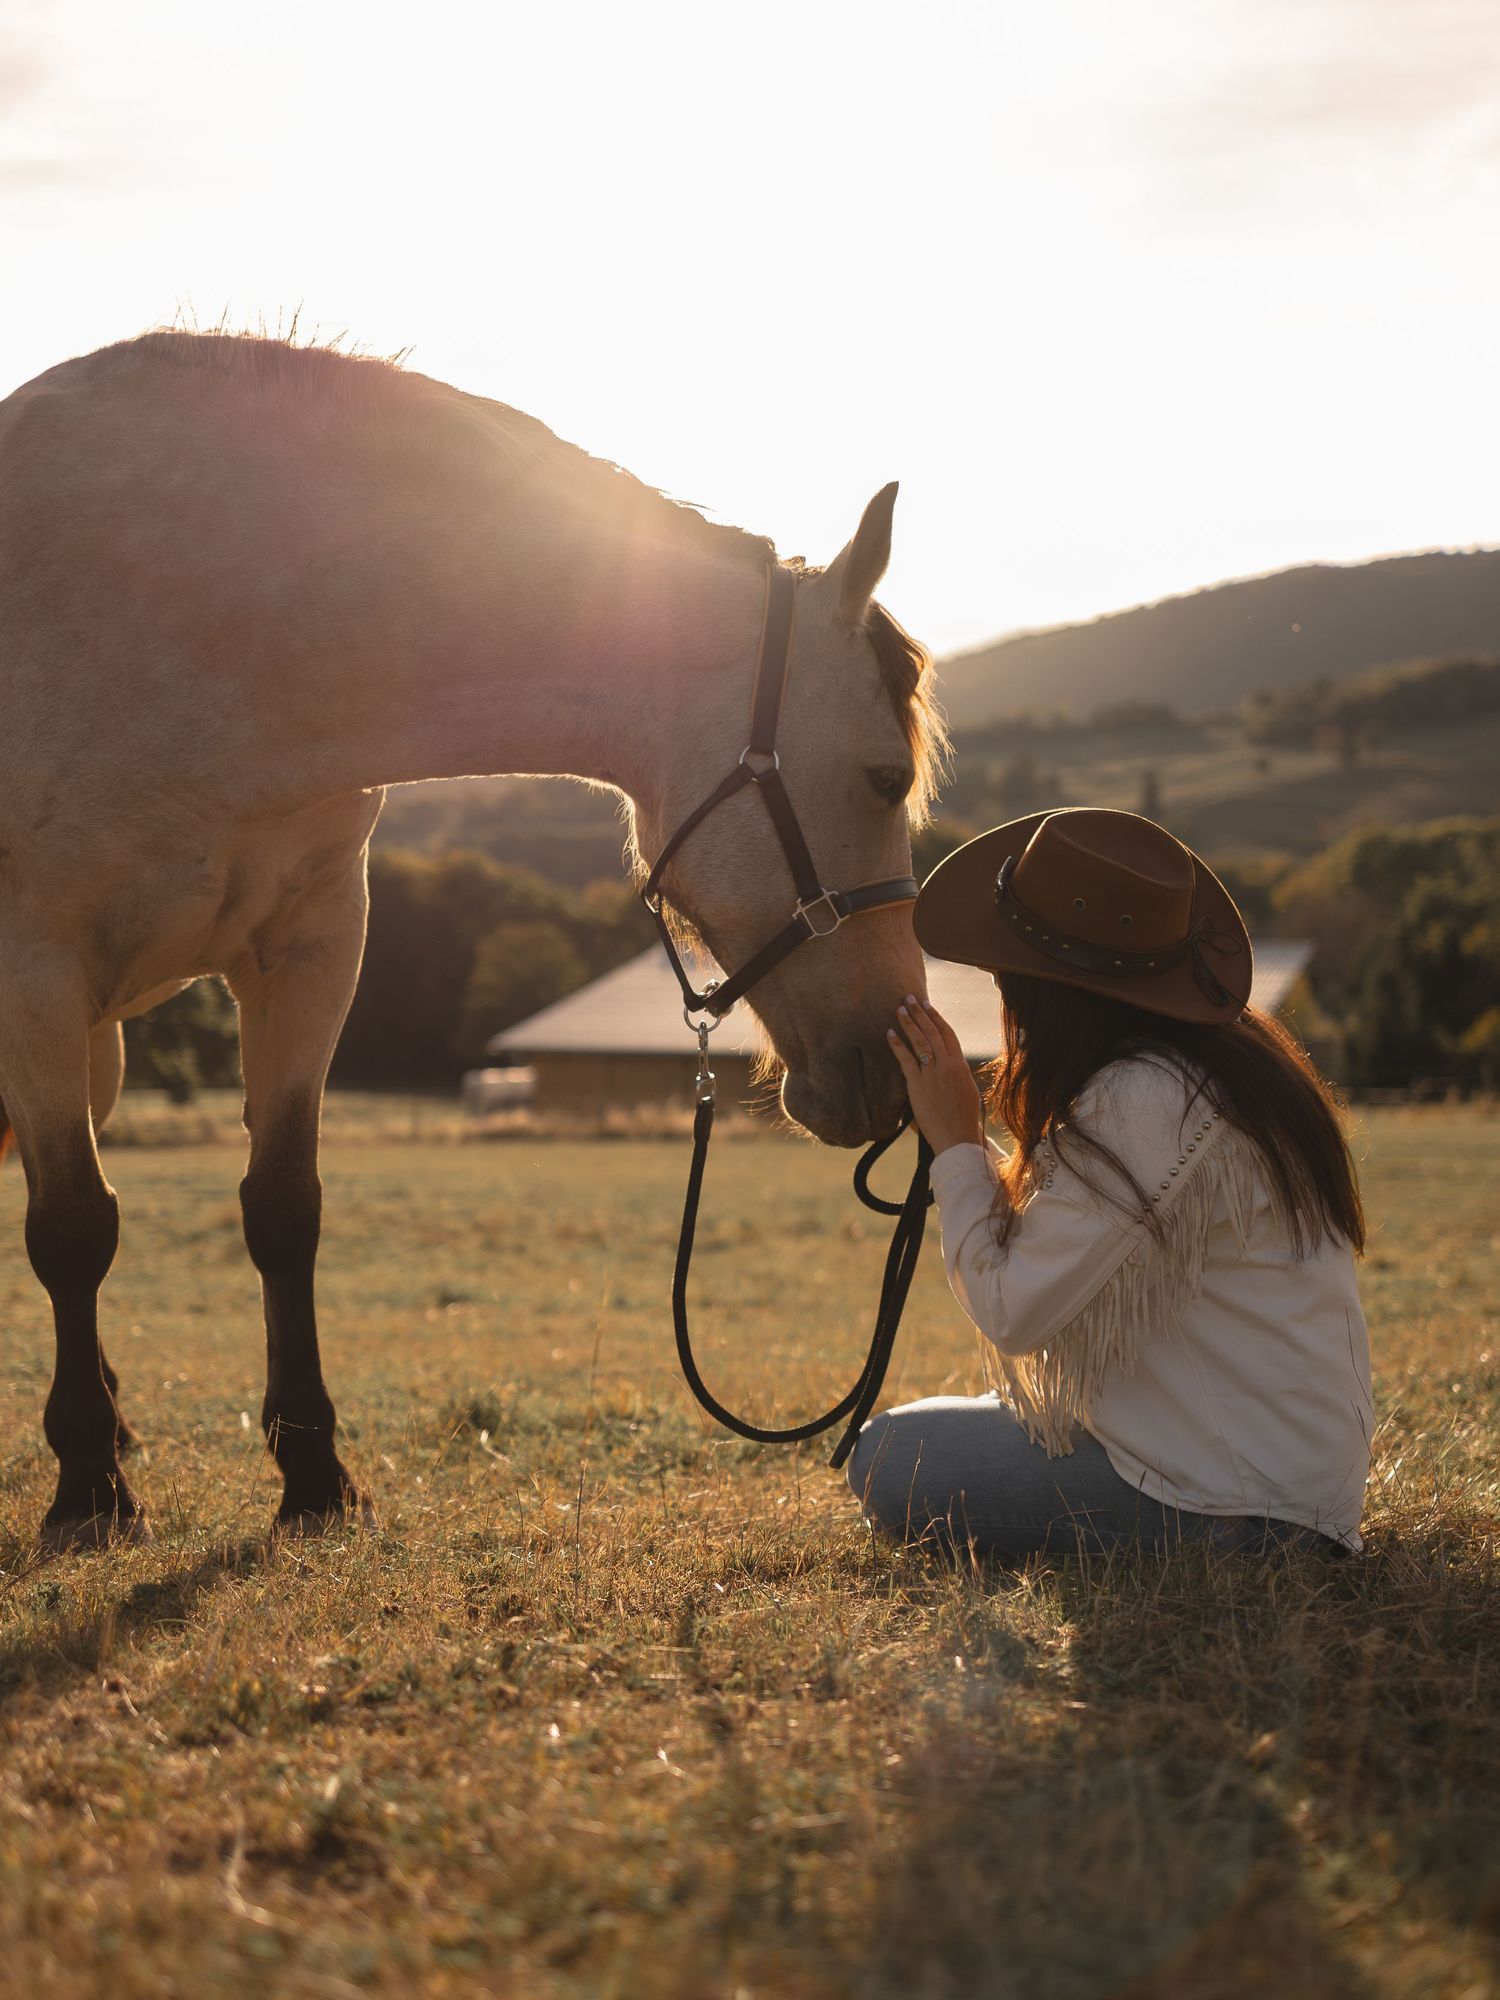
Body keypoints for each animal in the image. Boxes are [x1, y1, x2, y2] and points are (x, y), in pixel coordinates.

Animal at [0, 332, 944, 1551]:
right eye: (884, 775)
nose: (891, 1063)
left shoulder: (310, 949)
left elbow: (282, 1209)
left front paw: (315, 1478)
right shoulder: (34, 975)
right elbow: (72, 1228)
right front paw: (90, 1492)